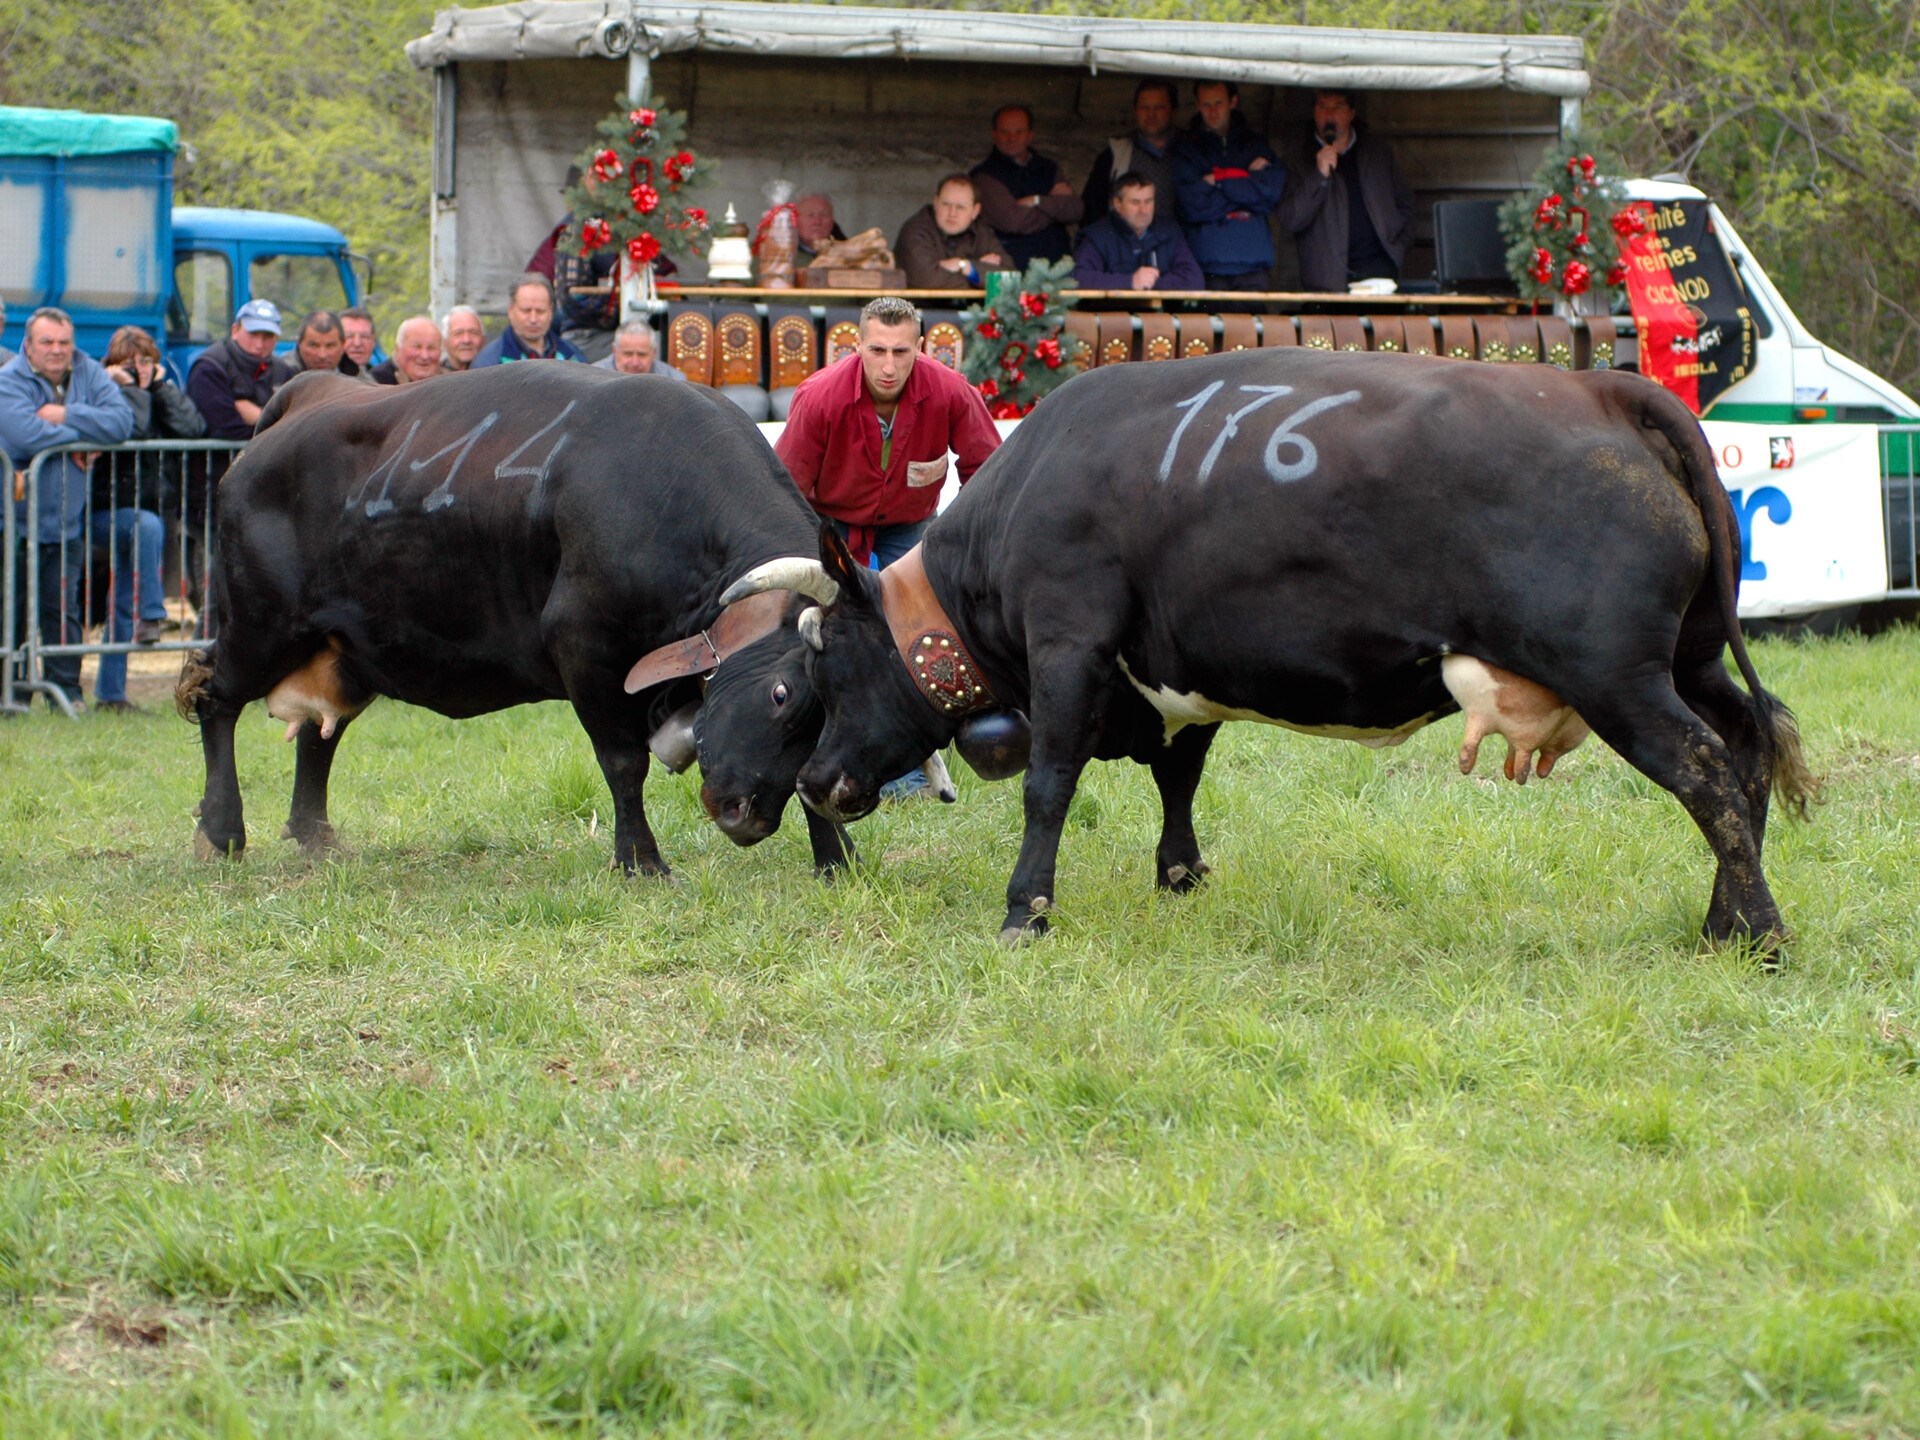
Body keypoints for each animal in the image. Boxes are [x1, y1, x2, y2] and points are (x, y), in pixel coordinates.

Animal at [177, 366, 845, 876]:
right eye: (780, 693)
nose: (747, 815)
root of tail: (314, 390)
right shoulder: (584, 646)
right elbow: (623, 762)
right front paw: (641, 862)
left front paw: (835, 859)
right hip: (260, 626)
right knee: (213, 696)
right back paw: (222, 831)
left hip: (348, 646)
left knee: (322, 731)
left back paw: (315, 834)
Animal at [725, 350, 1816, 953]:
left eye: (826, 667)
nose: (815, 782)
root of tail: (1603, 392)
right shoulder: (1180, 668)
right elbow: (1180, 776)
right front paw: (1179, 876)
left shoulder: (1070, 640)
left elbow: (1049, 785)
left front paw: (1024, 912)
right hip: (1688, 662)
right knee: (1748, 748)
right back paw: (1724, 922)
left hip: (1618, 677)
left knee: (1707, 770)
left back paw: (1760, 936)